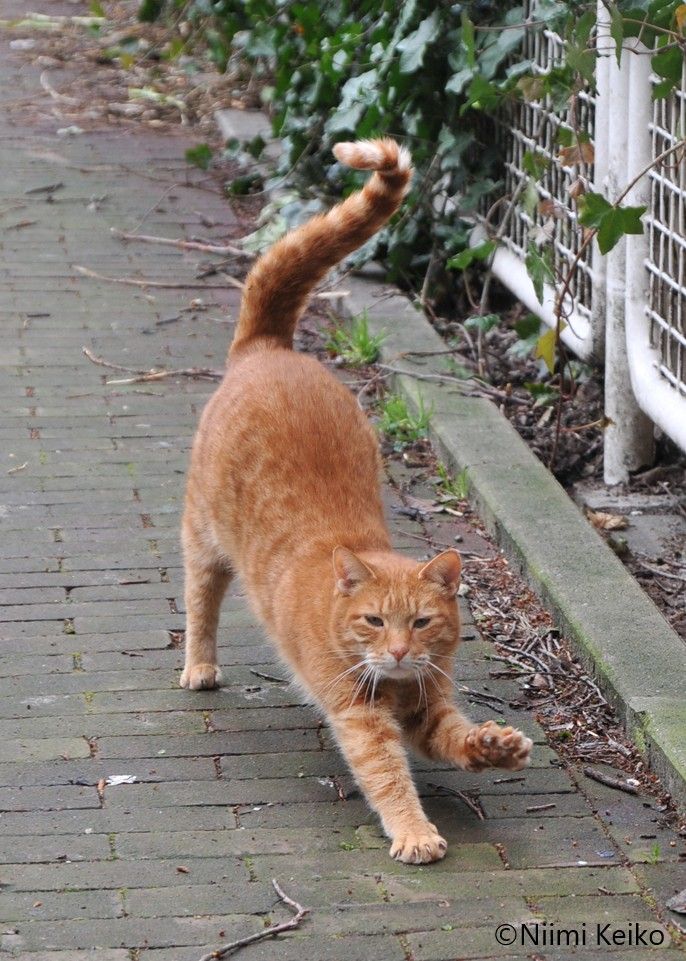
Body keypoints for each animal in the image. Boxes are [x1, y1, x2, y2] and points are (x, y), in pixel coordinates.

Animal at [180, 137, 533, 864]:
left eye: (420, 623)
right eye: (373, 621)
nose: (396, 652)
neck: (394, 683)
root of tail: (268, 348)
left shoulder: (429, 708)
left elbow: (456, 736)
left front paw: (494, 745)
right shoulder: (360, 715)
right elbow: (388, 775)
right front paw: (416, 832)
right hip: (203, 538)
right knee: (200, 598)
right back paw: (200, 665)